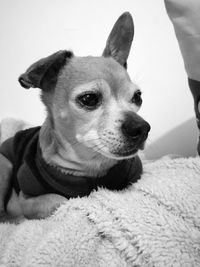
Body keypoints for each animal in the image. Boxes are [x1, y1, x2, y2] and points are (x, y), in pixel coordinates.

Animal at [0, 12, 150, 220]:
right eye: (89, 98)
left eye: (137, 97)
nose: (142, 128)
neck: (90, 166)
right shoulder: (24, 199)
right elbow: (60, 200)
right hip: (5, 165)